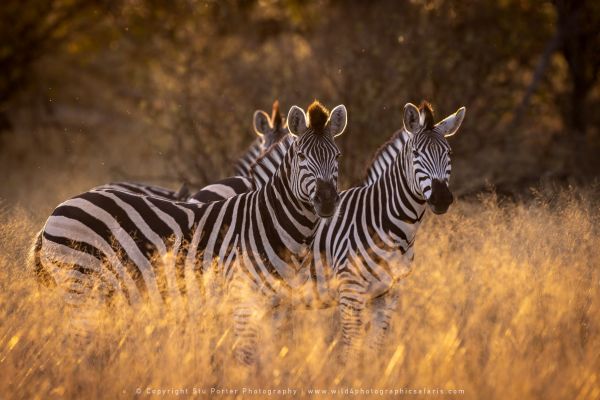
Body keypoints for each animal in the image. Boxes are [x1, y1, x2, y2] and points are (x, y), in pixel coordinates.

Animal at [31, 101, 346, 366]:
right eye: (302, 156)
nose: (327, 201)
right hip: (80, 284)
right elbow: (248, 358)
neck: (270, 219)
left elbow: (274, 355)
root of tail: (57, 210)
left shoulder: (278, 303)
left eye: (338, 156)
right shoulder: (243, 296)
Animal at [292, 102, 466, 360]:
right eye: (416, 154)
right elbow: (351, 348)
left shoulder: (388, 294)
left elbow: (375, 347)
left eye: (450, 154)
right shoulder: (350, 291)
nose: (441, 198)